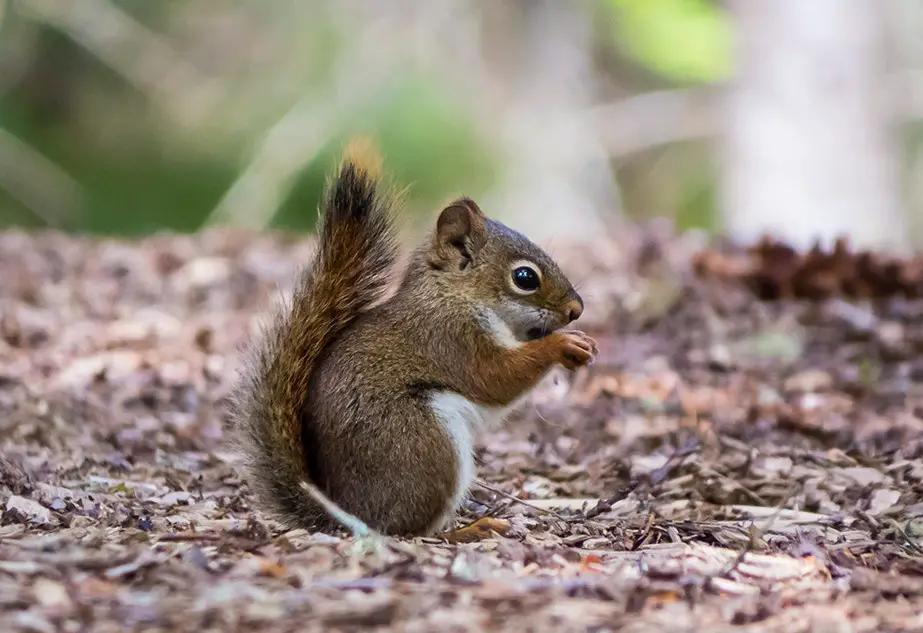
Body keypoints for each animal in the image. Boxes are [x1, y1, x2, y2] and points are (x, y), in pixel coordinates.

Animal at [234, 140, 597, 536]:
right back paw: (468, 530)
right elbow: (495, 377)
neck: (452, 295)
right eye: (525, 277)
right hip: (424, 442)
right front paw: (563, 344)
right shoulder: (450, 337)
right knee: (407, 530)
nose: (576, 309)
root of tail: (346, 513)